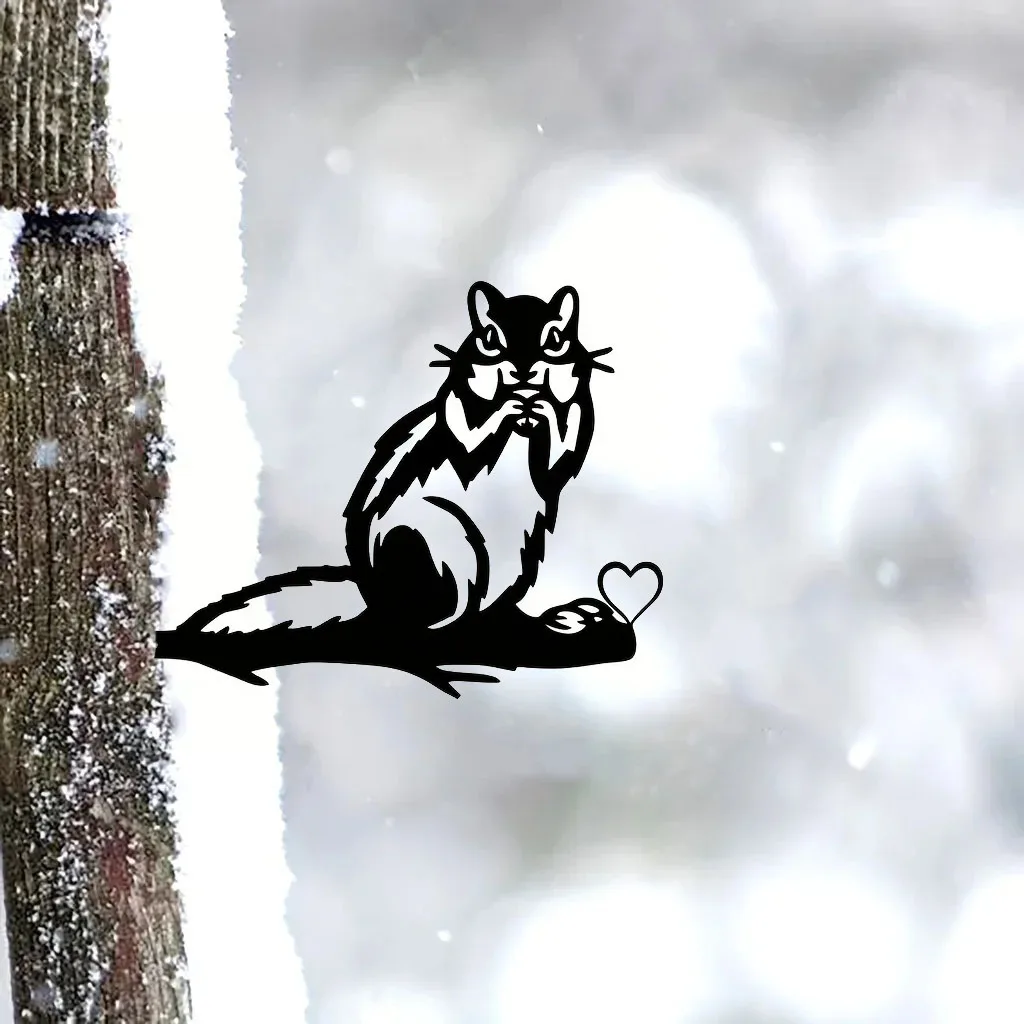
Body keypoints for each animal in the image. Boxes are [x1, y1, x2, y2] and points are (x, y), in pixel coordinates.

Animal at [166, 281, 643, 695]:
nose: (523, 372)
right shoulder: (456, 410)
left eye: (555, 339)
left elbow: (563, 450)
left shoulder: (574, 414)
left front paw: (543, 407)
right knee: (430, 616)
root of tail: (371, 592)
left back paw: (539, 618)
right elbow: (472, 433)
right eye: (489, 338)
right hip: (422, 546)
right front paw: (509, 404)